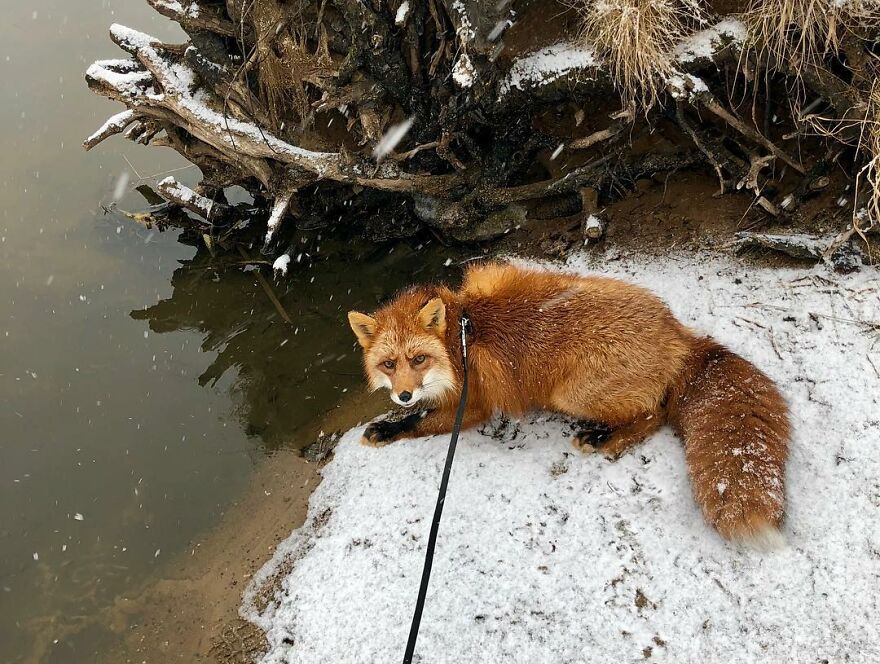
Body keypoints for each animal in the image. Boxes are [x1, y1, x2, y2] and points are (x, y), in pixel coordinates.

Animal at [347, 261, 790, 548]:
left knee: (654, 413)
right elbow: (417, 412)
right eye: (389, 364)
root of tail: (675, 331)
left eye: (419, 359)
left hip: (572, 393)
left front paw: (388, 427)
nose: (403, 393)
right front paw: (392, 416)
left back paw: (603, 439)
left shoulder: (473, 405)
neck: (462, 339)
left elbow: (419, 420)